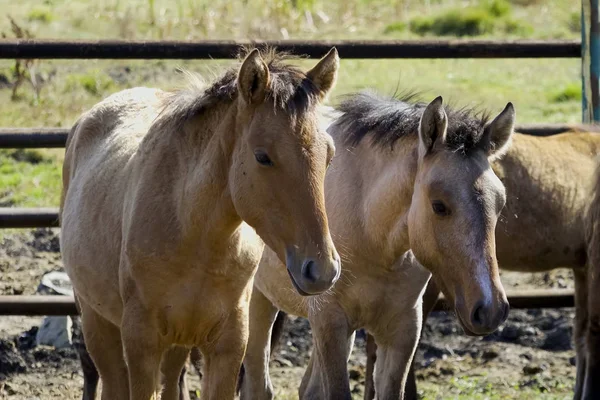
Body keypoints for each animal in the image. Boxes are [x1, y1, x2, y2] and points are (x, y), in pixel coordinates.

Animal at [61, 47, 344, 400]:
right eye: (262, 156)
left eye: (329, 155)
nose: (321, 271)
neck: (194, 234)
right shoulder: (141, 344)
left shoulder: (227, 346)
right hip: (97, 321)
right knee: (112, 380)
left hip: (176, 345)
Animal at [239, 91, 516, 400]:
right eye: (439, 206)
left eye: (500, 203)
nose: (490, 310)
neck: (370, 235)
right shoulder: (330, 324)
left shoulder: (402, 331)